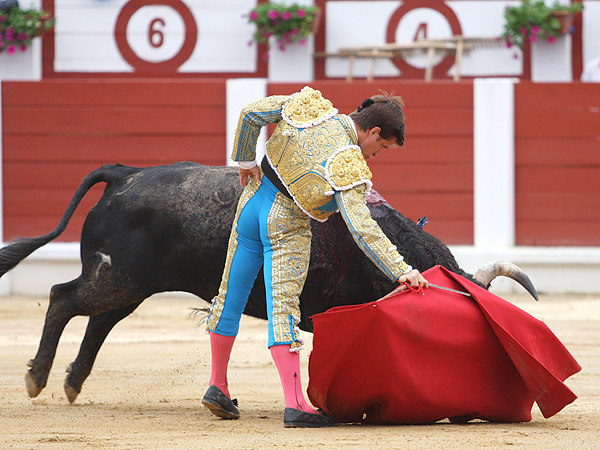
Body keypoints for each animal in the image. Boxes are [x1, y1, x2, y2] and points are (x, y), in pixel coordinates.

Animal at [0, 163, 536, 404]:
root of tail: (125, 174)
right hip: (115, 277)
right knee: (63, 299)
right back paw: (37, 377)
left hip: (128, 284)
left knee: (99, 320)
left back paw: (71, 382)